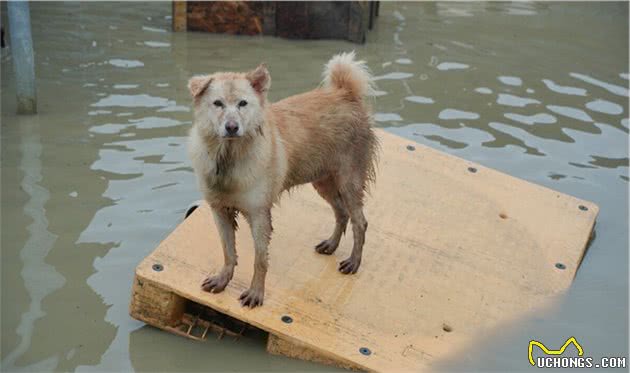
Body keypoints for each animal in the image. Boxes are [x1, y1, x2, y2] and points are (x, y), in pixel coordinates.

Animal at [189, 52, 380, 308]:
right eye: (217, 103)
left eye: (243, 103)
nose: (232, 127)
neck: (229, 157)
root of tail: (345, 92)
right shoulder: (220, 210)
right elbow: (228, 252)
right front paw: (222, 280)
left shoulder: (259, 215)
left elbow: (260, 259)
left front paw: (256, 294)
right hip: (323, 180)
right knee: (341, 213)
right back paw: (330, 245)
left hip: (349, 180)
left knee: (360, 221)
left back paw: (353, 262)